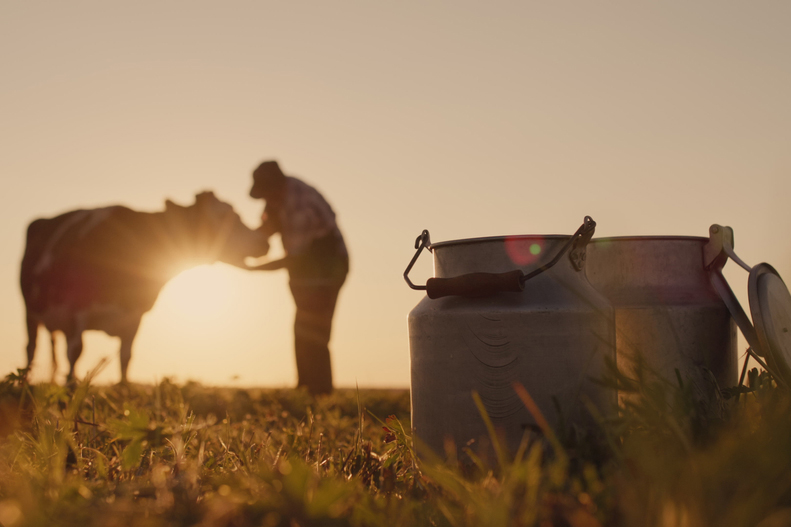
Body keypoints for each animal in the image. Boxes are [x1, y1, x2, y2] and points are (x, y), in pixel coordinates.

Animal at [20, 192, 270, 382]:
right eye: (224, 216)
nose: (263, 242)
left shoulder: (134, 316)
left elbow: (125, 358)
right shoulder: (77, 310)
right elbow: (75, 354)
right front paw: (69, 393)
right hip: (30, 311)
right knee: (31, 349)